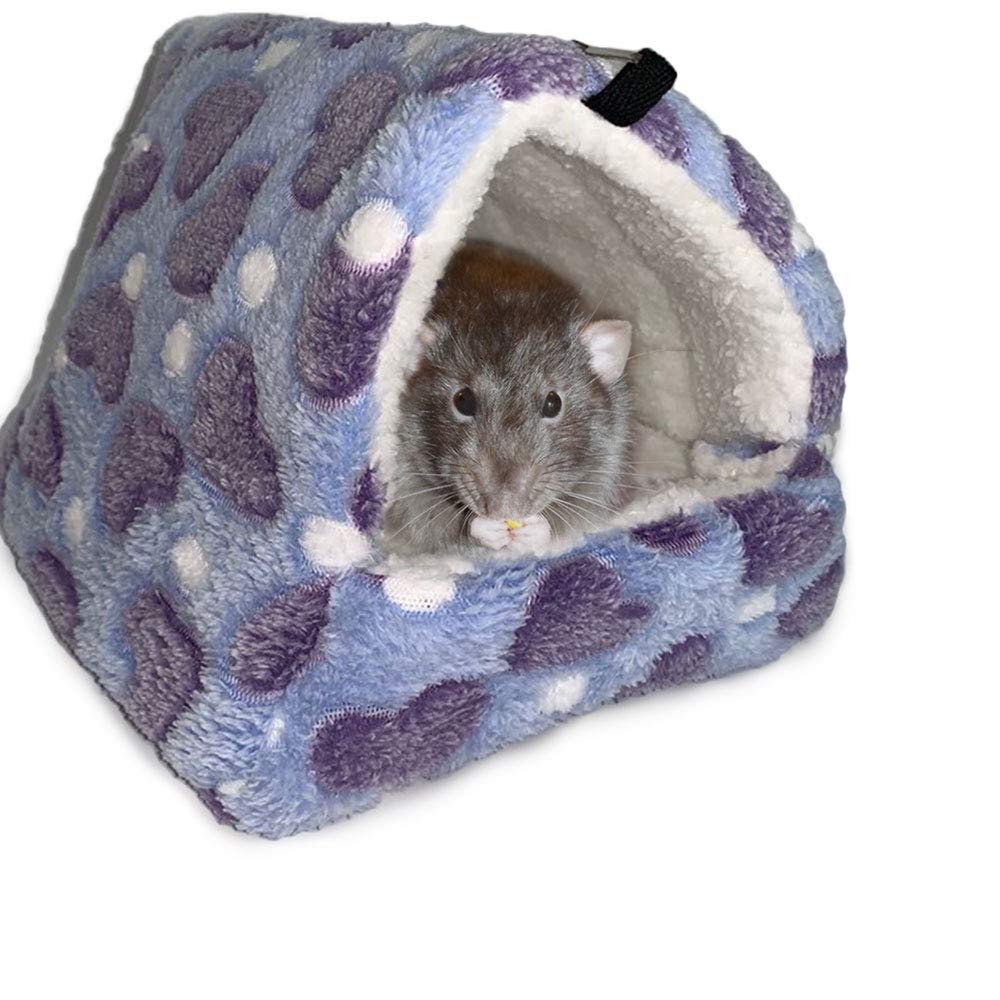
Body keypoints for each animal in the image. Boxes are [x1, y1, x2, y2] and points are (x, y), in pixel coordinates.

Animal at [382, 241, 632, 556]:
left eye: (553, 403)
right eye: (463, 401)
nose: (505, 510)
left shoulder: (608, 460)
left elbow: (580, 517)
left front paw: (539, 529)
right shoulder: (406, 472)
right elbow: (428, 527)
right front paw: (482, 528)